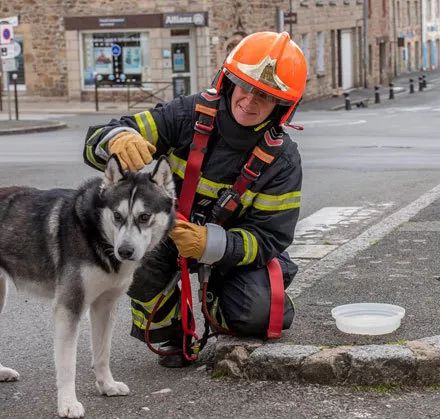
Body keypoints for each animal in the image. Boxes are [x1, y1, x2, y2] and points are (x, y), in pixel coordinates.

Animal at [0, 156, 175, 418]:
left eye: (145, 217)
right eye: (117, 215)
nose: (125, 251)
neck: (94, 233)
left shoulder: (104, 306)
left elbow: (102, 354)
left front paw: (107, 386)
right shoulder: (69, 307)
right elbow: (67, 365)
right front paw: (68, 404)